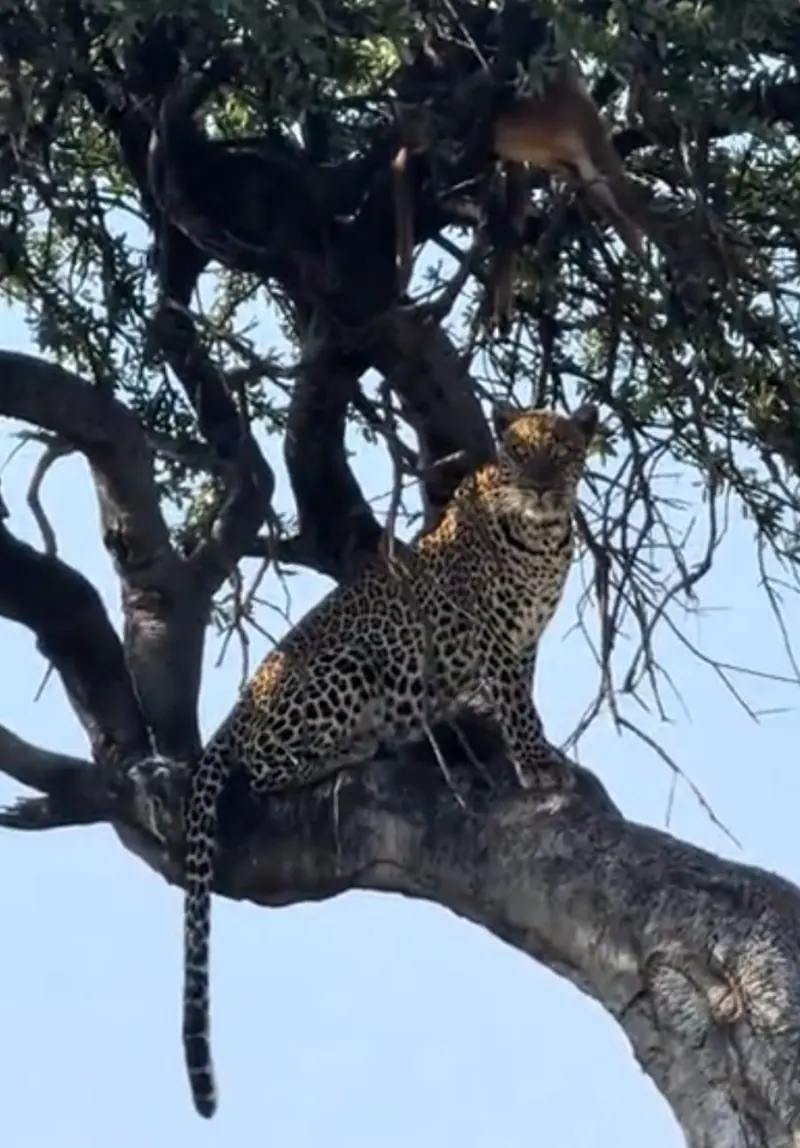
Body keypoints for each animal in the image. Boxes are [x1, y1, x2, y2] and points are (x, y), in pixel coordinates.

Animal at [181, 400, 598, 1118]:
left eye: (564, 453)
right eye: (520, 453)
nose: (544, 487)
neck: (543, 538)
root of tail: (237, 708)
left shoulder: (524, 642)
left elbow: (526, 702)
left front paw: (538, 753)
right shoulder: (495, 638)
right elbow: (518, 708)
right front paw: (537, 764)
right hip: (351, 667)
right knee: (264, 770)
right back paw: (356, 750)